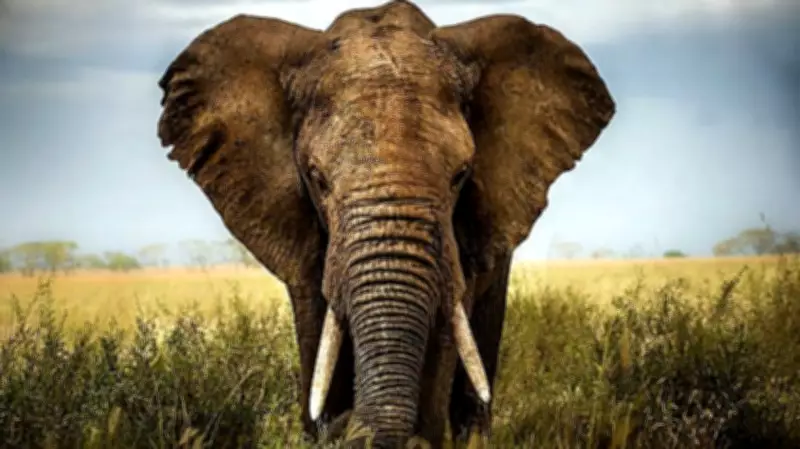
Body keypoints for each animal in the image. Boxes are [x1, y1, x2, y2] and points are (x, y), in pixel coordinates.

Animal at [155, 0, 615, 447]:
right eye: (317, 178)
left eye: (461, 175)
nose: (346, 427)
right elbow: (317, 324)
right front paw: (325, 428)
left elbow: (446, 331)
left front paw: (417, 437)